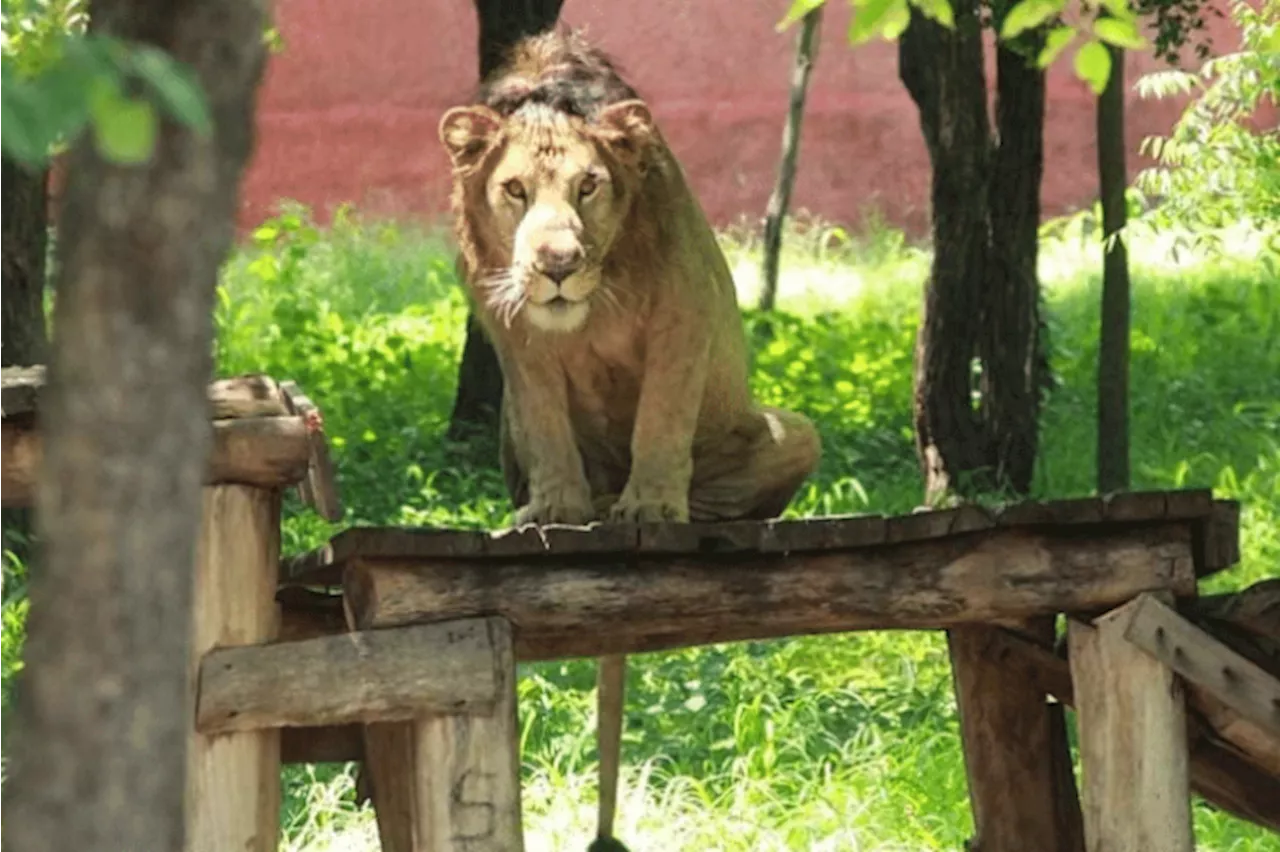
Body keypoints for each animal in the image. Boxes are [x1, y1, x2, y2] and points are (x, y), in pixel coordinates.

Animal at [440, 31, 819, 524]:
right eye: (515, 189)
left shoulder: (683, 314)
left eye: (587, 186)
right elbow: (545, 427)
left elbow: (660, 419)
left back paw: (617, 506)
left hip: (798, 432)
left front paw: (651, 506)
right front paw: (555, 509)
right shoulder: (517, 338)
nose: (558, 264)